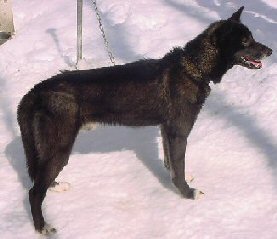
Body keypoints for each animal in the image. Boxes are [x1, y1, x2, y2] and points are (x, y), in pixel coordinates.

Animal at [17, 7, 272, 233]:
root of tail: (36, 91)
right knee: (34, 192)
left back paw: (56, 187)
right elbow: (179, 166)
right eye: (246, 41)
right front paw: (187, 193)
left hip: (50, 151)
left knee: (40, 178)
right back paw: (42, 227)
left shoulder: (167, 130)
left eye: (252, 38)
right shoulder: (179, 133)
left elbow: (172, 164)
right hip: (60, 148)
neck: (192, 67)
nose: (270, 51)